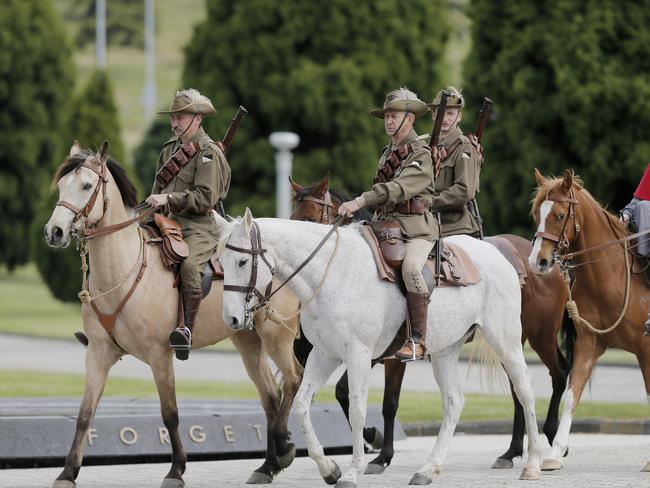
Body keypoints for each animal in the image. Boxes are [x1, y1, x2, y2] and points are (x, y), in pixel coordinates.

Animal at [43, 143, 302, 486]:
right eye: (61, 185)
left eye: (87, 186)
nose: (55, 232)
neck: (124, 269)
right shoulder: (97, 353)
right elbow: (85, 413)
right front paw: (68, 472)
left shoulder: (160, 356)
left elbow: (170, 414)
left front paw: (176, 469)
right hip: (248, 341)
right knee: (271, 396)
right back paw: (268, 465)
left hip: (277, 337)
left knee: (293, 379)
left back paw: (284, 447)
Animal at [218, 208, 540, 486]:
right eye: (221, 262)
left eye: (242, 262)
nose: (231, 319)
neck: (331, 274)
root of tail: (498, 253)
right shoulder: (324, 355)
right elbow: (301, 404)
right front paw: (329, 468)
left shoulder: (358, 355)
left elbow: (358, 409)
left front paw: (352, 472)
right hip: (445, 351)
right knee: (453, 402)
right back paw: (428, 468)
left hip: (506, 341)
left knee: (524, 391)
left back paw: (534, 462)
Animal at [288, 173, 568, 470]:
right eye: (293, 216)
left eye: (310, 218)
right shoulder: (371, 353)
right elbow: (345, 393)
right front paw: (374, 441)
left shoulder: (388, 354)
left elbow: (387, 402)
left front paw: (380, 450)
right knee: (517, 389)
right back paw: (511, 451)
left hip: (534, 336)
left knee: (556, 374)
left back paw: (549, 440)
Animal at [528, 169, 648, 472]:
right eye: (537, 214)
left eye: (559, 215)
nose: (538, 261)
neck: (613, 276)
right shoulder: (588, 343)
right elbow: (572, 394)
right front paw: (555, 453)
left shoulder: (646, 350)